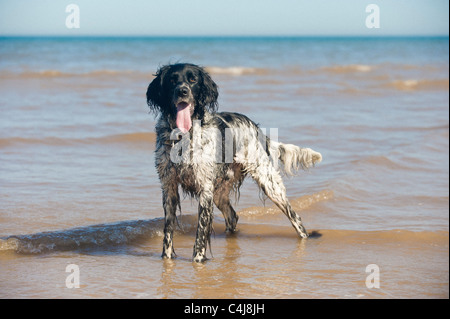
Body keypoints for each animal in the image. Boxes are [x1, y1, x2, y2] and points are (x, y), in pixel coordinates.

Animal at [146, 62, 322, 262]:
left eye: (192, 80)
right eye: (172, 80)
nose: (182, 91)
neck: (183, 136)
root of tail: (254, 125)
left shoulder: (205, 190)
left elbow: (201, 233)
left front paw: (198, 260)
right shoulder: (169, 187)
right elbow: (168, 230)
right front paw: (167, 258)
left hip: (269, 183)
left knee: (295, 218)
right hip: (219, 192)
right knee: (233, 216)